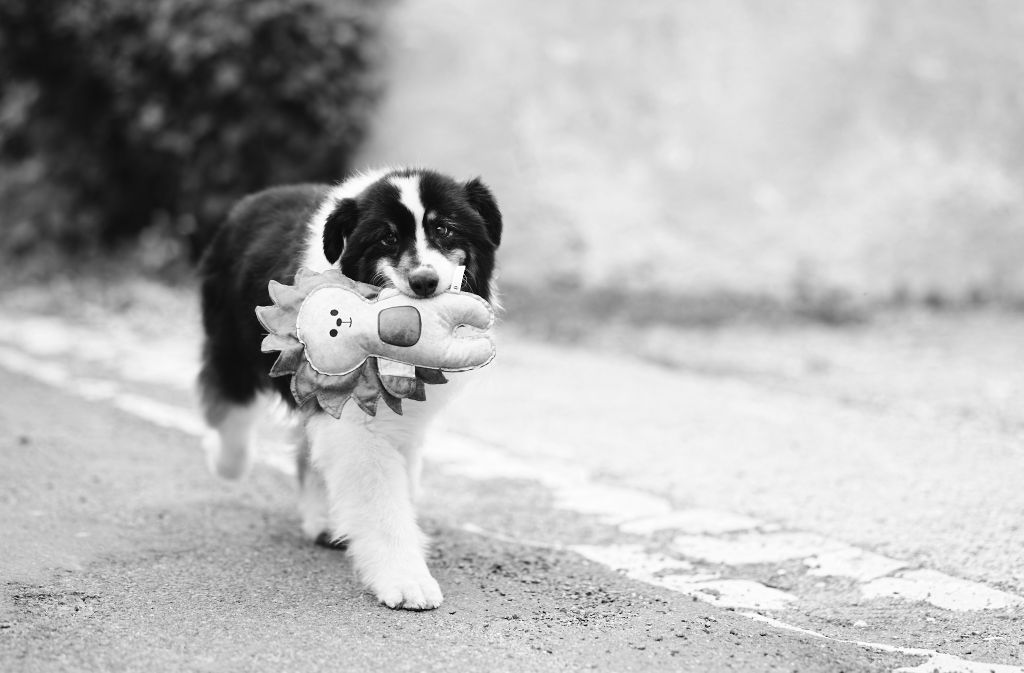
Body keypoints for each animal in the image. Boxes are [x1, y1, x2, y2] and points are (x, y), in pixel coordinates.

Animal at [195, 167, 499, 610]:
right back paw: (225, 461)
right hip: (231, 345)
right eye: (387, 238)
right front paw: (405, 580)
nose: (424, 281)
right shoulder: (355, 421)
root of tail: (247, 202)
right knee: (230, 409)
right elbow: (381, 501)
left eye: (444, 228)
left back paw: (322, 521)